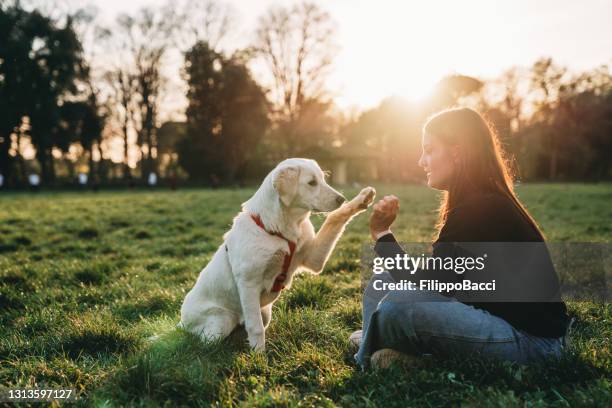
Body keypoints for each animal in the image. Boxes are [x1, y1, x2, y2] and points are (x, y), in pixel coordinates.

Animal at [179, 159, 376, 350]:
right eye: (312, 182)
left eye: (323, 179)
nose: (341, 198)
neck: (281, 229)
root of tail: (180, 321)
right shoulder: (248, 283)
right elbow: (256, 327)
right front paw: (259, 357)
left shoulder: (313, 259)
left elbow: (334, 218)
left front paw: (361, 200)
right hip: (221, 321)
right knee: (205, 342)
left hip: (264, 312)